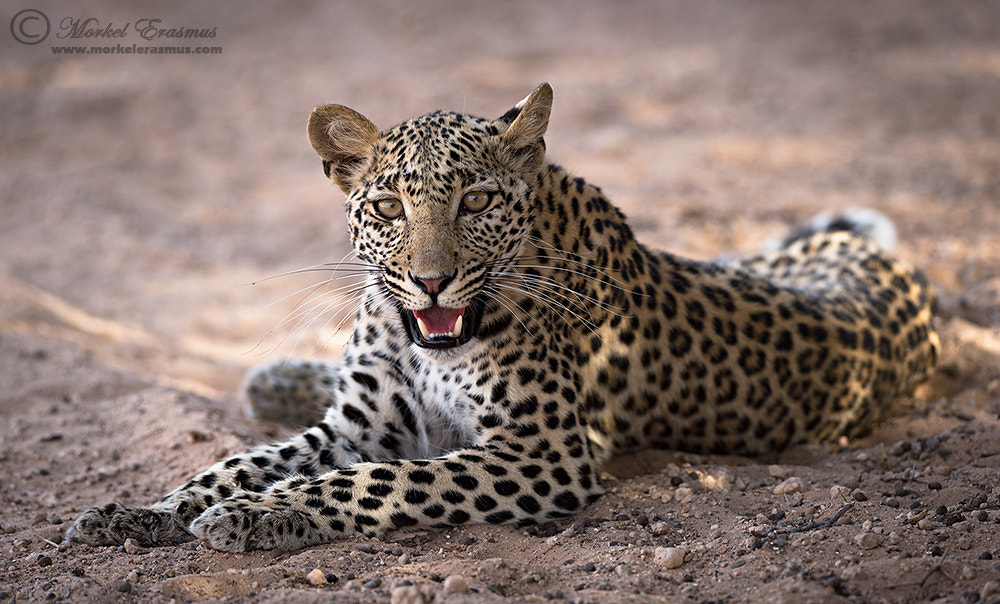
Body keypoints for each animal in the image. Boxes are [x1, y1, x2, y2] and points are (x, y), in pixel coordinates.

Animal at [66, 84, 940, 552]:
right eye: (388, 207)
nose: (431, 282)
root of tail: (884, 267)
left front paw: (256, 516)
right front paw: (137, 514)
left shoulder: (542, 451)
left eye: (477, 201)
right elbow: (234, 463)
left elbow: (381, 481)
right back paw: (273, 378)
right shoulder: (358, 424)